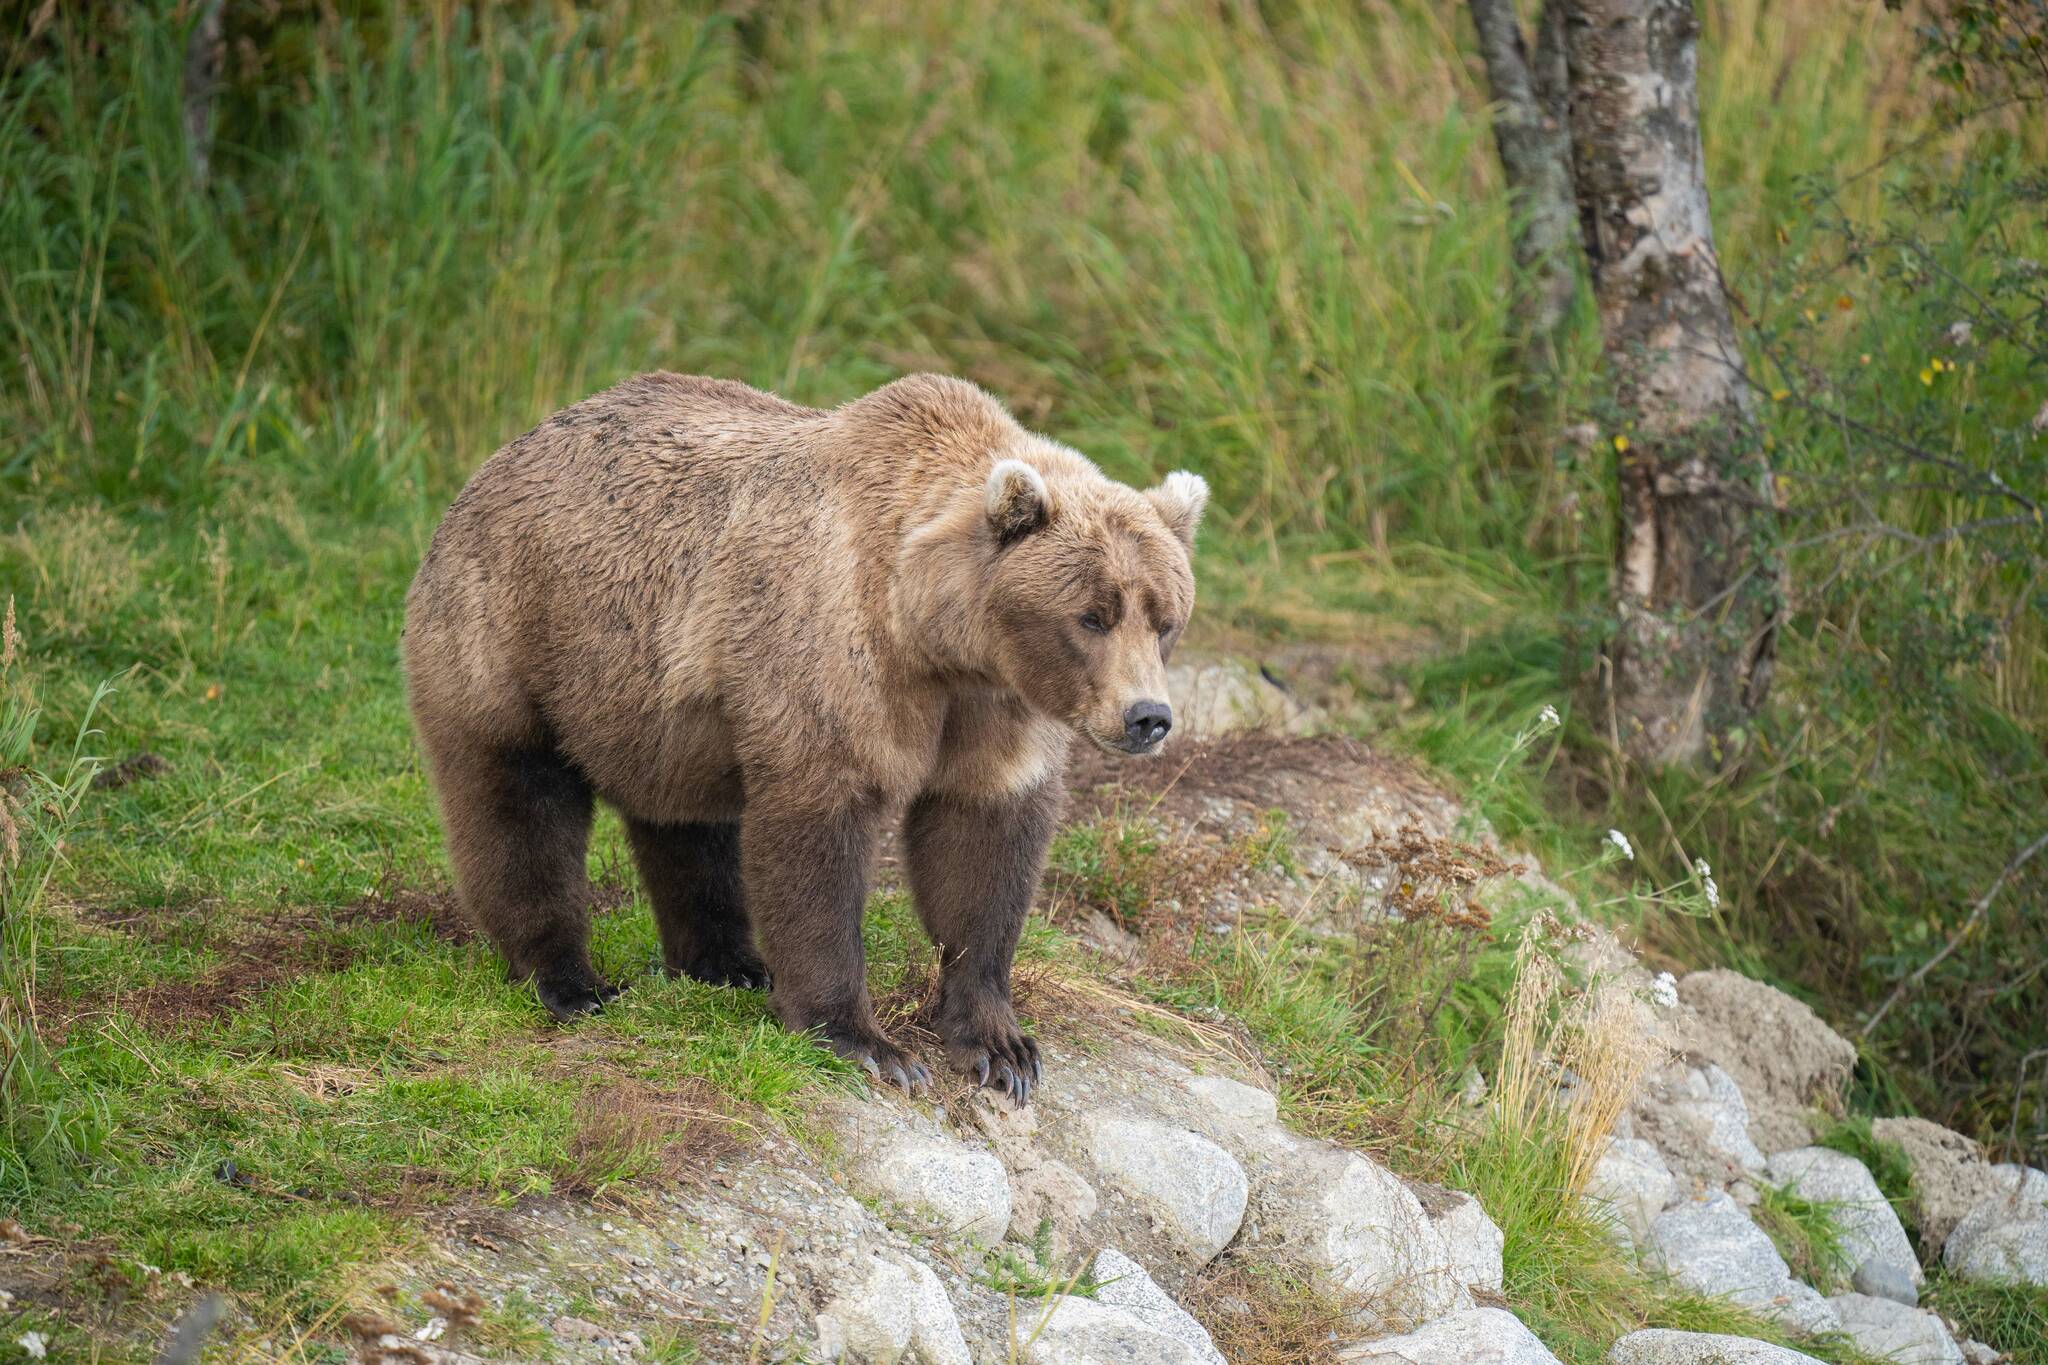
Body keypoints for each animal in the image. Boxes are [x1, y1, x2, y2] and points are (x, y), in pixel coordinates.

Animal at [401, 370, 1204, 1096]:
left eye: (1165, 618)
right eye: (1092, 615)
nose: (1147, 717)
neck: (939, 638)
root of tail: (495, 461)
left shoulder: (994, 710)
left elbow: (983, 847)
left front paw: (999, 1046)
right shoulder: (836, 650)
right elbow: (818, 838)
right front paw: (867, 1043)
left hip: (659, 706)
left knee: (688, 822)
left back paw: (729, 963)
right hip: (514, 633)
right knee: (517, 801)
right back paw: (568, 980)